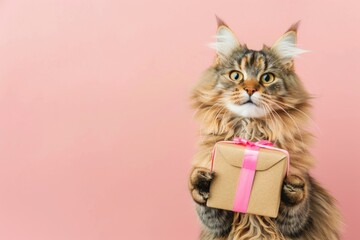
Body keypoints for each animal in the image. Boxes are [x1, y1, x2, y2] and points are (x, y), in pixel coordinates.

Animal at [190, 16, 342, 240]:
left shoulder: (297, 224)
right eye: (236, 76)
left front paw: (293, 188)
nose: (250, 89)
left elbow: (296, 208)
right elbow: (208, 209)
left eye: (267, 78)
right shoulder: (218, 226)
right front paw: (200, 183)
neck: (251, 133)